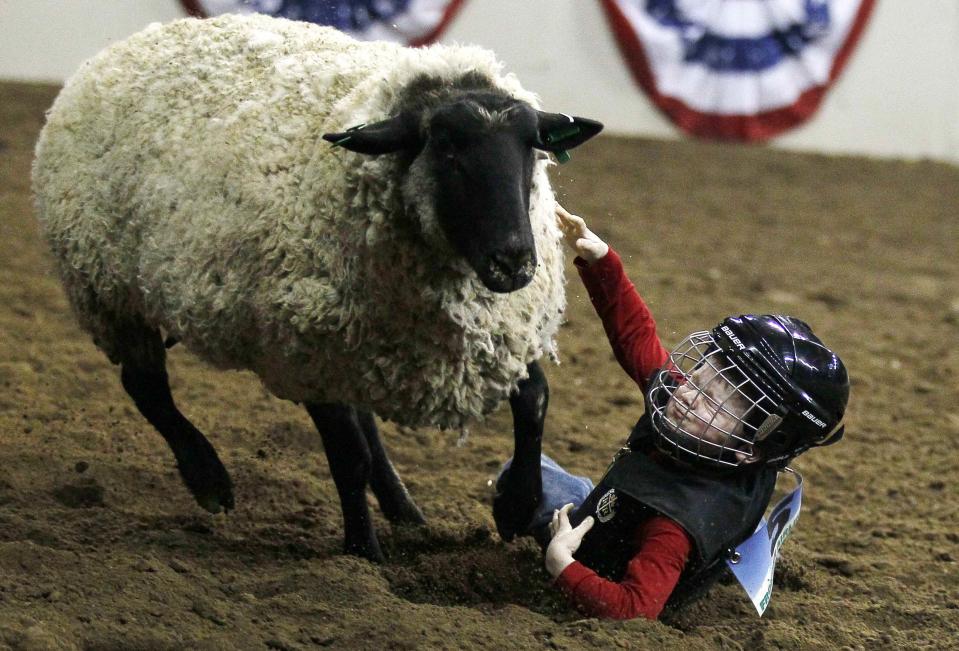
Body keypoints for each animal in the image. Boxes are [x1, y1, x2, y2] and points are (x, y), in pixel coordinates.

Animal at [33, 12, 604, 564]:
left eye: (531, 149)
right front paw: (362, 555)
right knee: (145, 386)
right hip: (108, 290)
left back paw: (405, 511)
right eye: (445, 149)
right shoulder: (308, 351)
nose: (514, 261)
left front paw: (518, 503)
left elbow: (534, 400)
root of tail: (114, 51)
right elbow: (347, 457)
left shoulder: (497, 335)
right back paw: (208, 477)